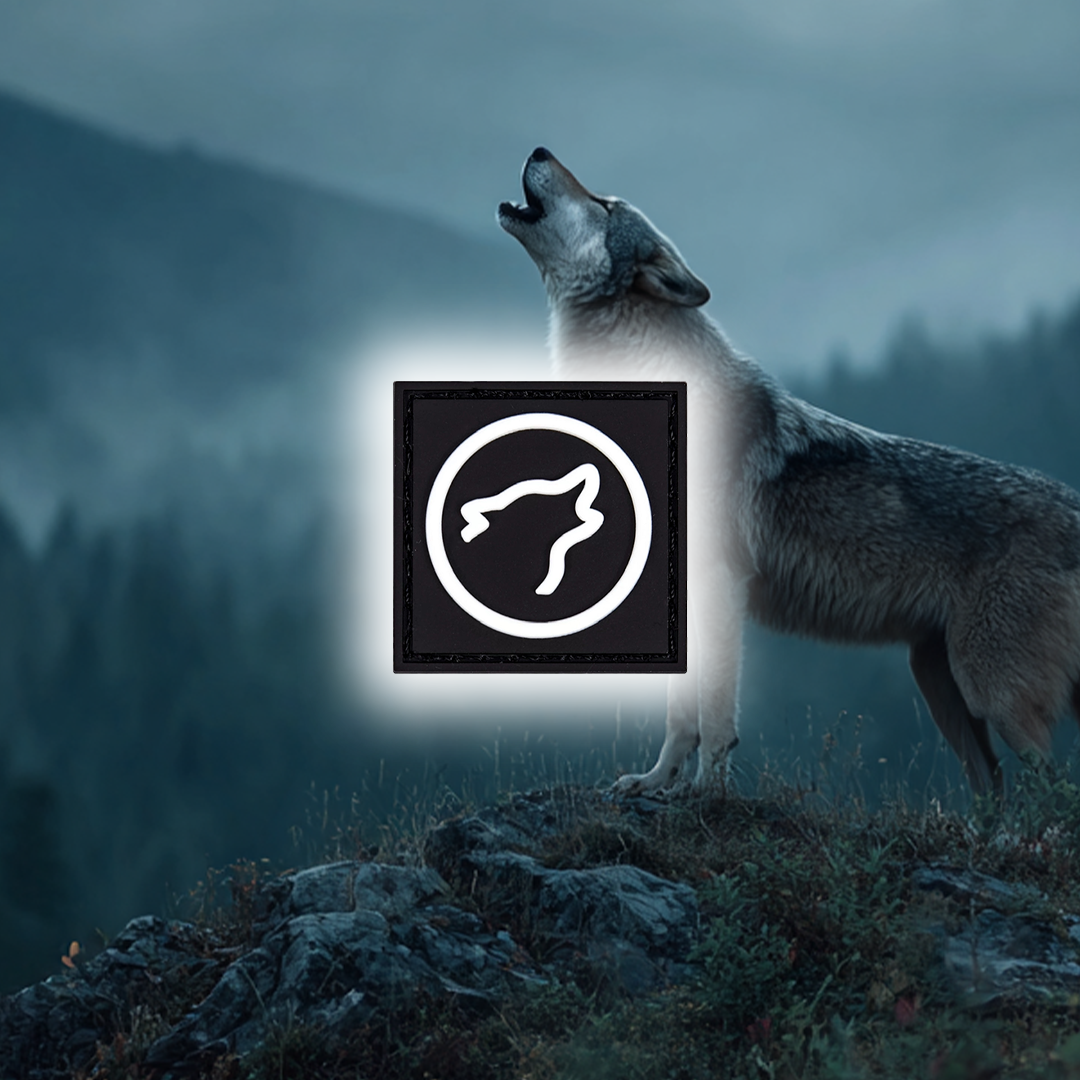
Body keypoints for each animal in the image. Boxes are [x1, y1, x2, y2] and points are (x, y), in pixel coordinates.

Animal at [498, 146, 1080, 797]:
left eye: (604, 203)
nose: (540, 149)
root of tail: (1075, 506)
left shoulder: (719, 585)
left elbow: (715, 712)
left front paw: (707, 794)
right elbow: (679, 716)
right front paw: (656, 783)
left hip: (993, 696)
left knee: (1054, 791)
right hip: (944, 690)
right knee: (995, 790)